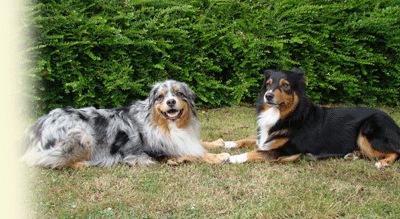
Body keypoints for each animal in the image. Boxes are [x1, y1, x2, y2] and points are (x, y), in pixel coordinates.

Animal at [223, 67, 400, 168]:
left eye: (285, 85)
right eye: (268, 84)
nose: (268, 96)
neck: (288, 115)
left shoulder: (285, 151)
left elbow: (255, 152)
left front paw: (233, 158)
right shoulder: (266, 137)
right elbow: (249, 140)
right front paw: (229, 143)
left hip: (368, 131)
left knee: (396, 152)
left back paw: (382, 163)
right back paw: (354, 154)